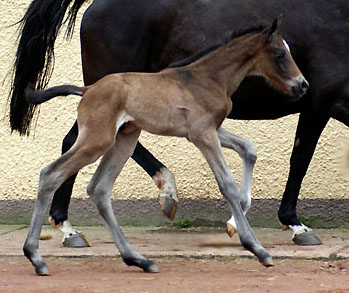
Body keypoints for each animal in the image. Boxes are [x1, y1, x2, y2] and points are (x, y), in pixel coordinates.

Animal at [23, 18, 308, 274]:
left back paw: (138, 260)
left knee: (99, 188)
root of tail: (87, 90)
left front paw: (238, 219)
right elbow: (227, 183)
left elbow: (248, 148)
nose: (302, 85)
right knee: (51, 174)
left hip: (124, 139)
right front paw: (257, 249)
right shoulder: (203, 134)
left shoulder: (209, 130)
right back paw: (36, 258)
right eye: (279, 53)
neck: (208, 77)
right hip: (97, 140)